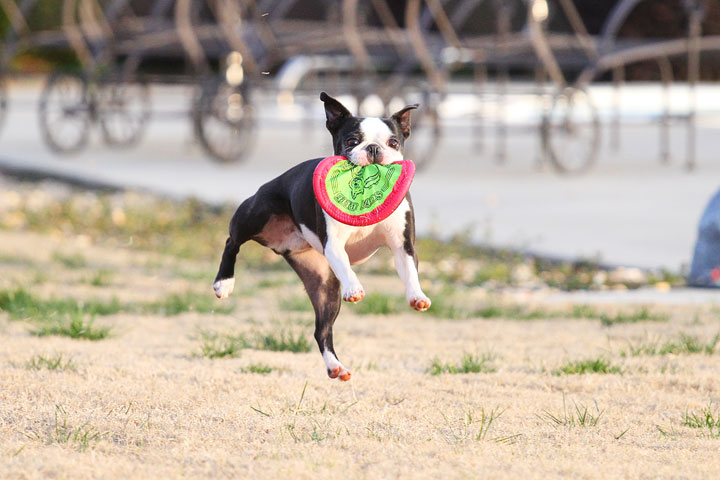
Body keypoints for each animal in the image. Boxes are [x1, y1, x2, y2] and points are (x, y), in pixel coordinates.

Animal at [211, 92, 430, 380]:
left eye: (393, 142)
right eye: (351, 141)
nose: (373, 148)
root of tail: (284, 245)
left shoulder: (402, 244)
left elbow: (410, 270)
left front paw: (418, 296)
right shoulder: (334, 245)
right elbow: (347, 267)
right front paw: (355, 288)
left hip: (325, 284)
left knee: (321, 330)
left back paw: (336, 366)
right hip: (256, 213)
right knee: (231, 241)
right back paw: (223, 283)